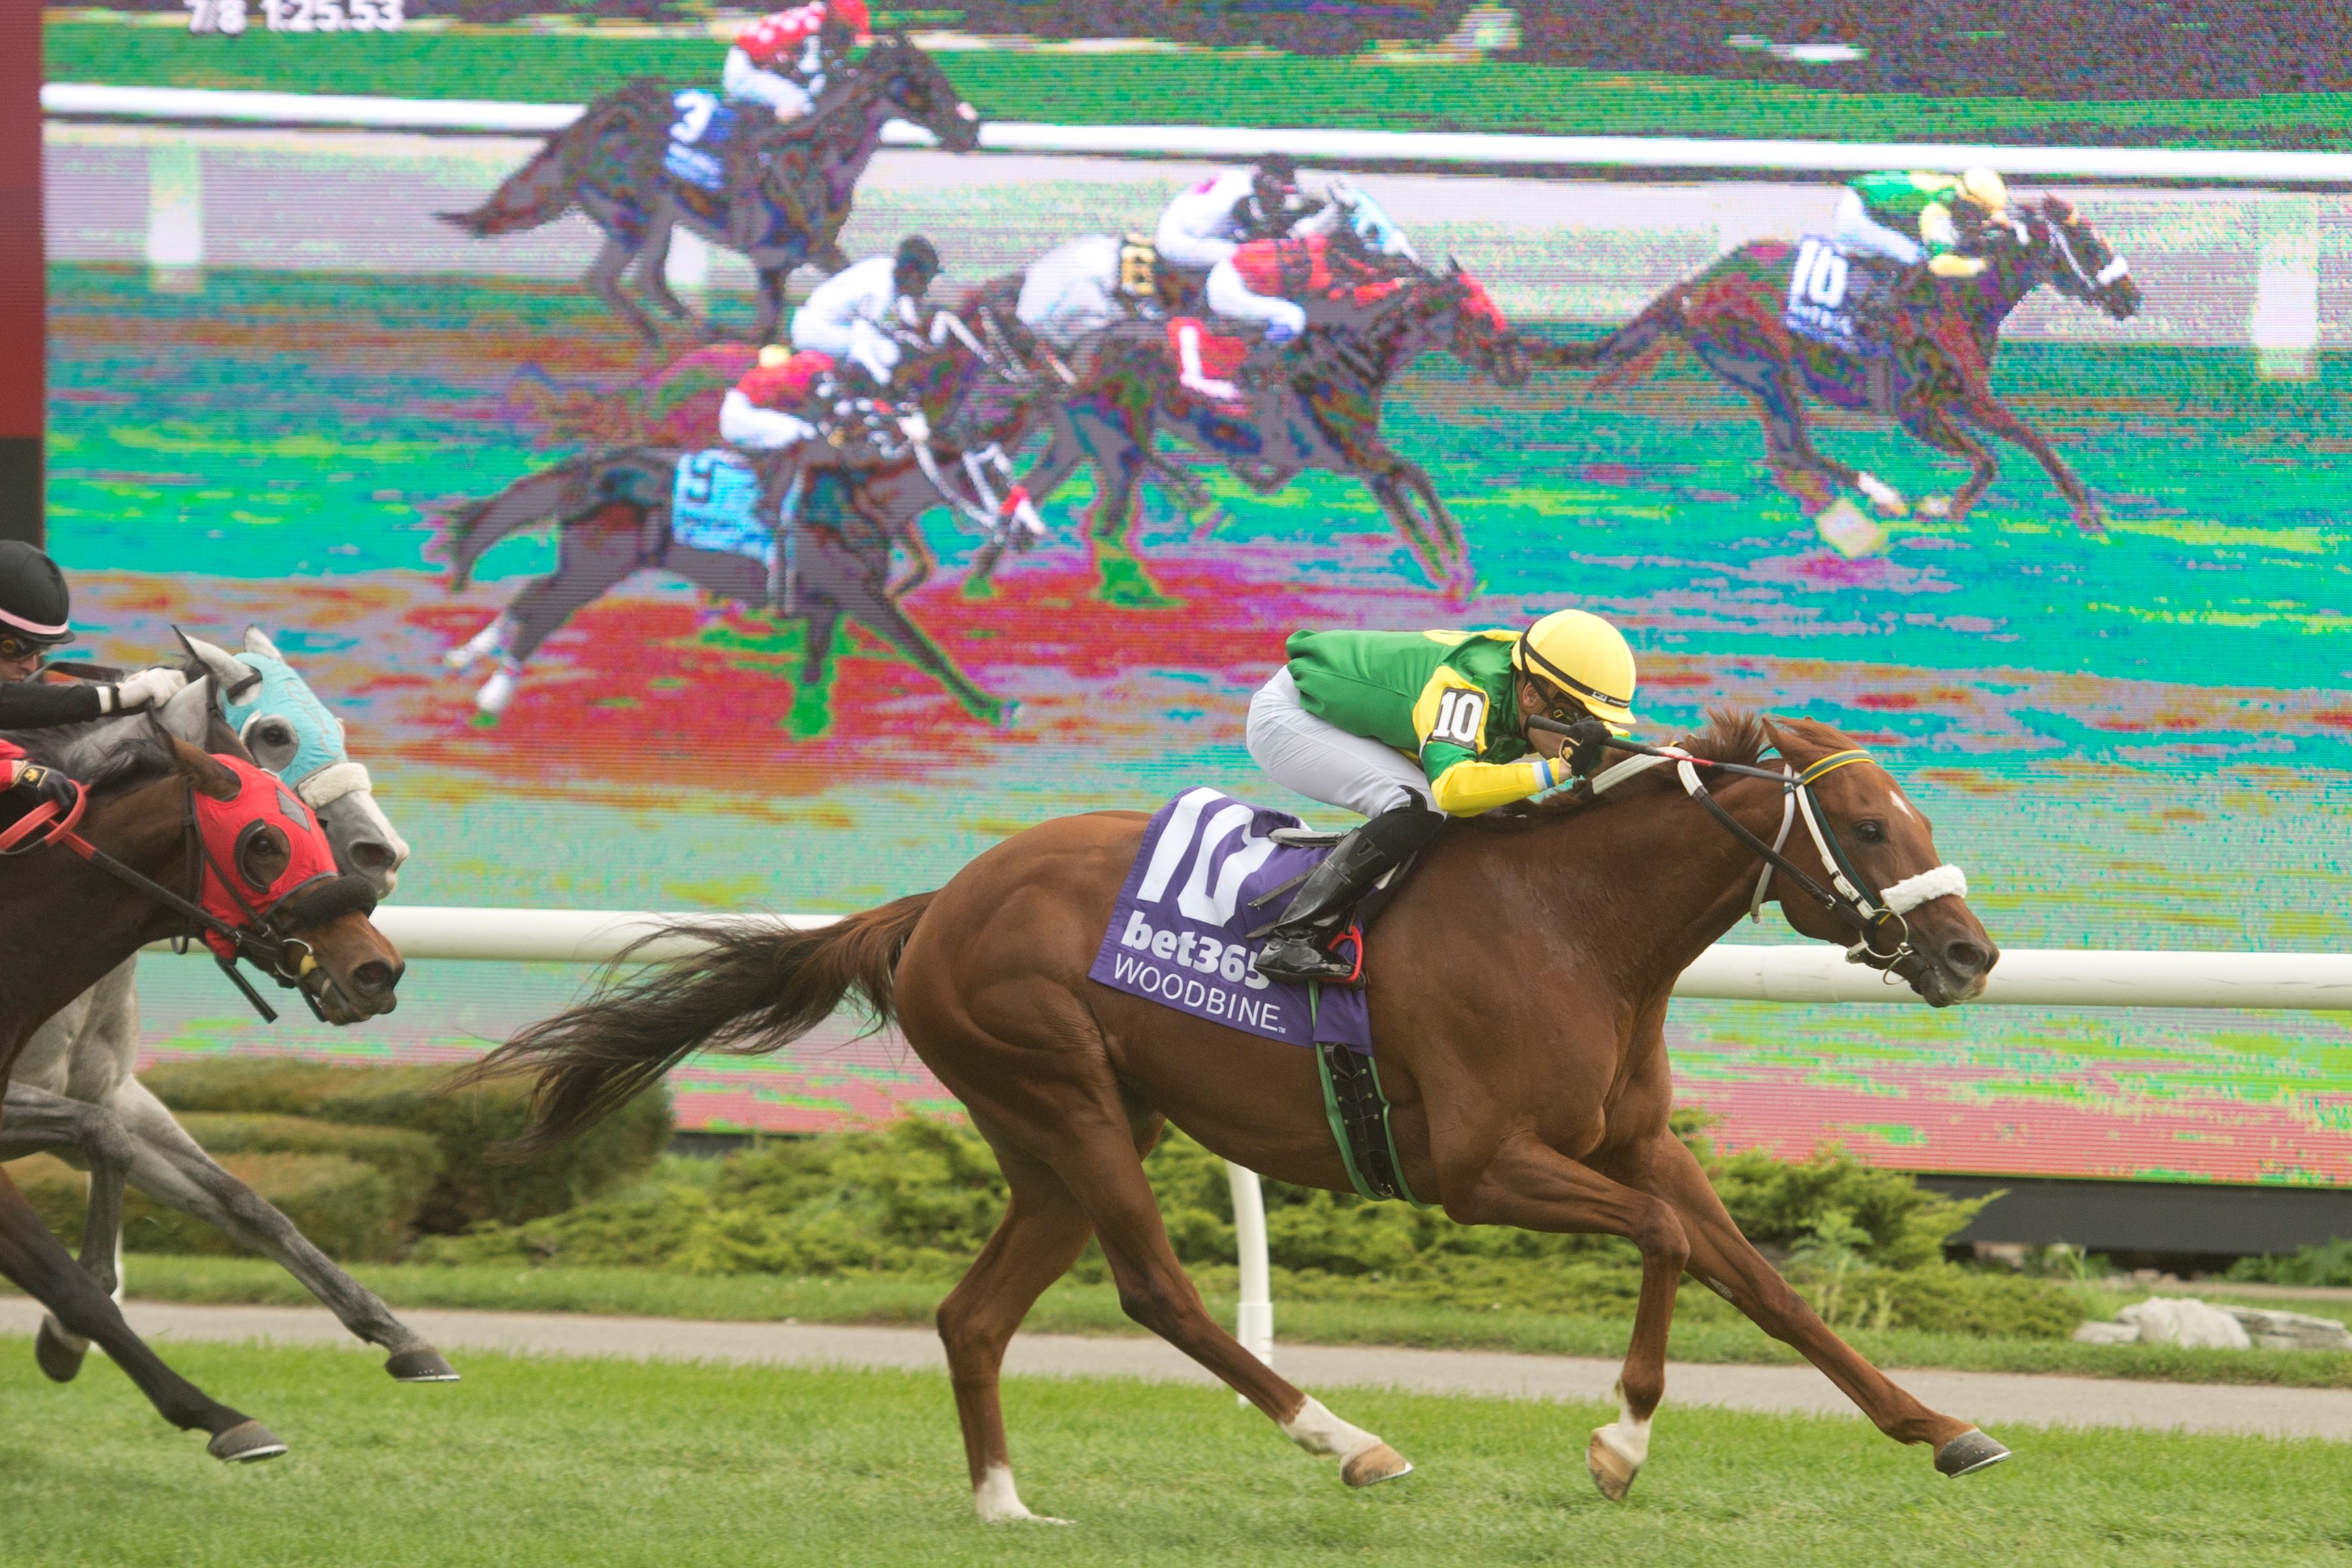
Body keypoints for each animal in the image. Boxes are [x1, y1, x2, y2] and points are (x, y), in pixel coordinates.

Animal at [472, 710, 2004, 1523]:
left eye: (1916, 819)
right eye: (1873, 828)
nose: (1973, 953)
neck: (1575, 926)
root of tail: (938, 903)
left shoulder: (1634, 1144)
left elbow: (1768, 1284)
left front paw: (1944, 1429)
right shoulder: (1481, 1169)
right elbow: (1671, 1249)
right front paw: (1618, 1443)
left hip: (1058, 1136)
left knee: (975, 1315)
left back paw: (1005, 1506)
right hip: (1066, 1094)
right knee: (1157, 1290)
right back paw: (1347, 1440)